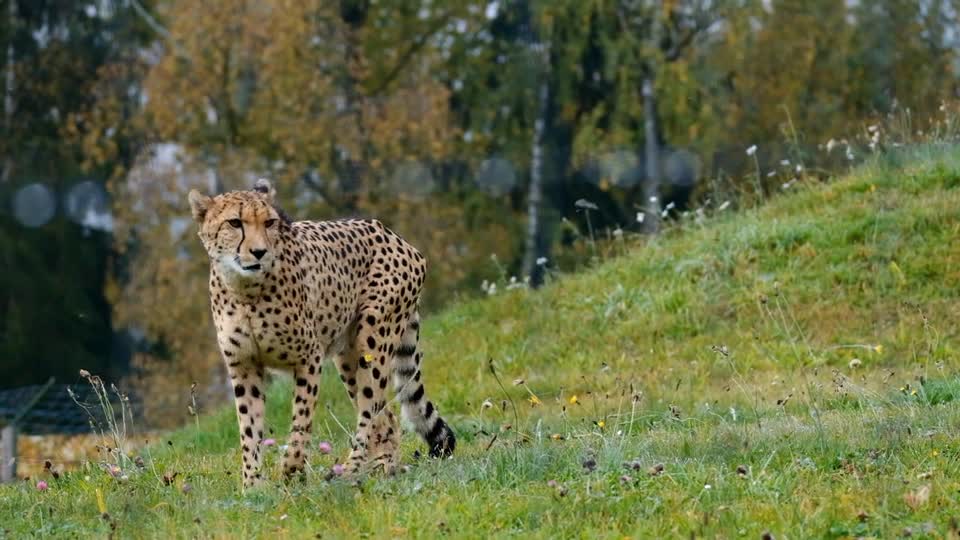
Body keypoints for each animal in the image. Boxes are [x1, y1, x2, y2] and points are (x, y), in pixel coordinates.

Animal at [191, 178, 458, 490]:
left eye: (269, 222)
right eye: (235, 222)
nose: (259, 252)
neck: (245, 290)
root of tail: (392, 234)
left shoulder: (309, 358)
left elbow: (301, 420)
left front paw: (292, 470)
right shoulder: (244, 366)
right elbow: (249, 429)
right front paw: (252, 486)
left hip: (373, 339)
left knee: (371, 410)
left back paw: (350, 470)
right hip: (348, 356)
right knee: (387, 418)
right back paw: (382, 469)